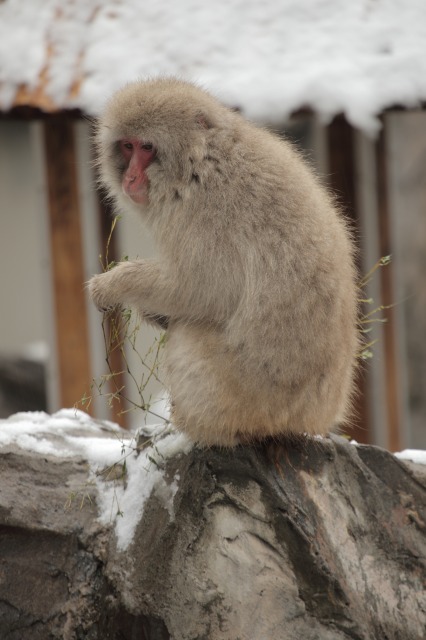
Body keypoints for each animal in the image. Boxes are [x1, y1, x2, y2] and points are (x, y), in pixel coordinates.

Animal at [89, 77, 360, 448]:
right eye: (127, 147)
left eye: (146, 147)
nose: (130, 179)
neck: (200, 160)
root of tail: (315, 419)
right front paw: (151, 311)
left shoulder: (205, 212)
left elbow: (199, 290)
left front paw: (115, 285)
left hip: (247, 399)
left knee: (187, 335)